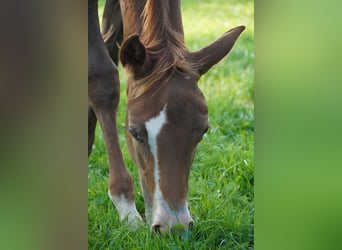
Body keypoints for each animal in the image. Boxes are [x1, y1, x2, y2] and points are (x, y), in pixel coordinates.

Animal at [88, 0, 243, 234]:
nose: (174, 226)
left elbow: (110, 45)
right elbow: (101, 77)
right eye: (134, 133)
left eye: (203, 131)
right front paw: (127, 210)